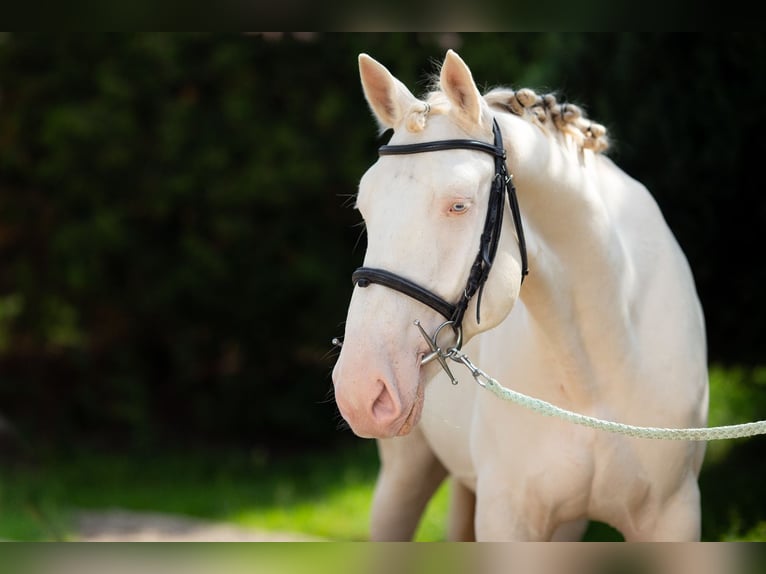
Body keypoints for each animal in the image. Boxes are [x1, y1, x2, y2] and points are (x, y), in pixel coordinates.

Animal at [332, 50, 712, 544]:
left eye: (459, 204)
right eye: (365, 208)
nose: (361, 391)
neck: (594, 378)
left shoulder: (674, 514)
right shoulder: (507, 516)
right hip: (405, 475)